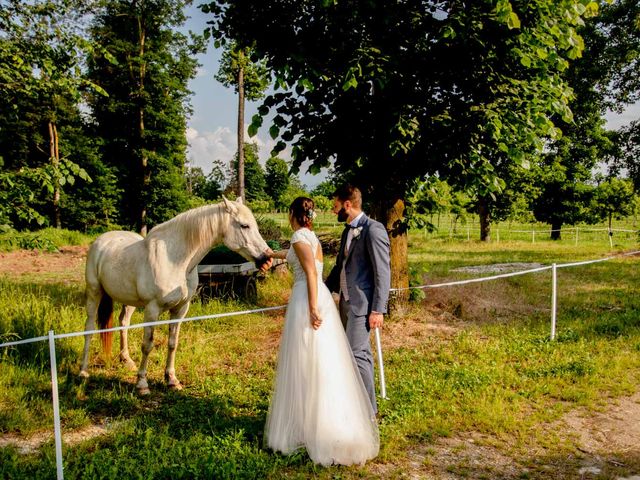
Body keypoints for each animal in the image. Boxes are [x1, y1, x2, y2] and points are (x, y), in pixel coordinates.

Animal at [79, 197, 270, 396]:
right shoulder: (152, 310)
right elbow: (147, 345)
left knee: (123, 323)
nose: (267, 257)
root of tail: (101, 241)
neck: (175, 261)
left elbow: (173, 343)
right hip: (94, 292)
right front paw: (142, 384)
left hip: (129, 301)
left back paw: (127, 361)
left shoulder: (180, 309)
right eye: (244, 225)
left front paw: (171, 380)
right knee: (89, 327)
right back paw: (83, 371)